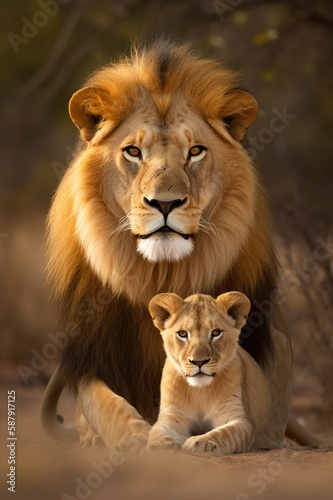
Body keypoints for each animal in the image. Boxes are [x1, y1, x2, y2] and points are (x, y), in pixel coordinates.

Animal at [40, 40, 320, 450]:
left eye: (195, 152)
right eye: (133, 152)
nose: (165, 203)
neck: (160, 274)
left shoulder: (270, 342)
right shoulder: (89, 355)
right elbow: (103, 404)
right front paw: (135, 435)